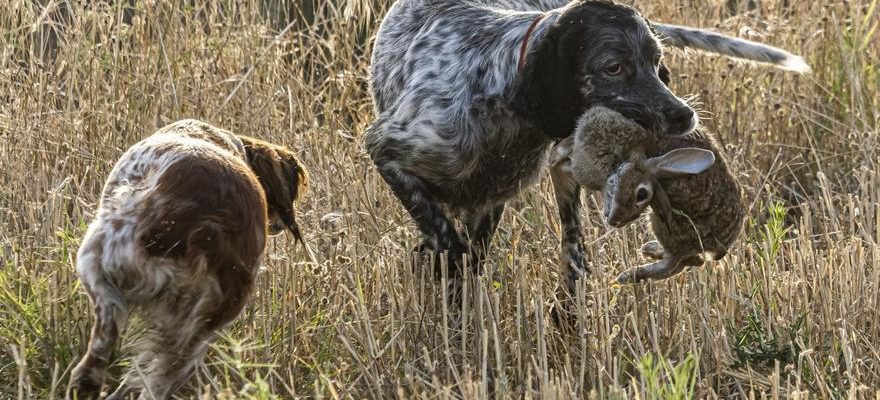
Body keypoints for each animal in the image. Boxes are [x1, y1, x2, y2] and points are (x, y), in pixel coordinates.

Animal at [366, 0, 812, 292]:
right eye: (613, 67)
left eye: (657, 62)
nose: (685, 116)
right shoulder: (386, 149)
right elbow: (445, 237)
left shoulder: (499, 192)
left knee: (572, 246)